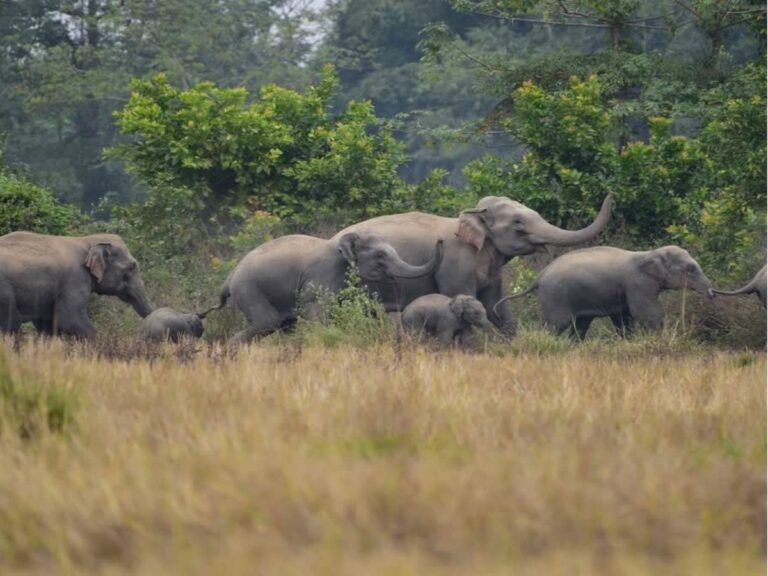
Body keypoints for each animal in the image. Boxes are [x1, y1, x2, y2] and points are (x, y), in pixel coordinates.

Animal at [0, 231, 153, 338]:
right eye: (132, 267)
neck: (86, 240)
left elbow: (47, 325)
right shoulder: (75, 279)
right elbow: (70, 319)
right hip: (4, 292)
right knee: (11, 322)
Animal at [218, 231, 444, 341]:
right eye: (380, 256)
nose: (440, 240)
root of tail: (229, 278)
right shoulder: (321, 278)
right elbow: (319, 317)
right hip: (249, 291)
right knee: (267, 323)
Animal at [494, 245, 714, 339]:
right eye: (690, 269)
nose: (712, 293)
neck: (651, 253)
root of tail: (539, 277)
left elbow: (623, 317)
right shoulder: (638, 283)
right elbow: (644, 312)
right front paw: (660, 336)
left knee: (580, 324)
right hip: (555, 296)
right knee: (558, 324)